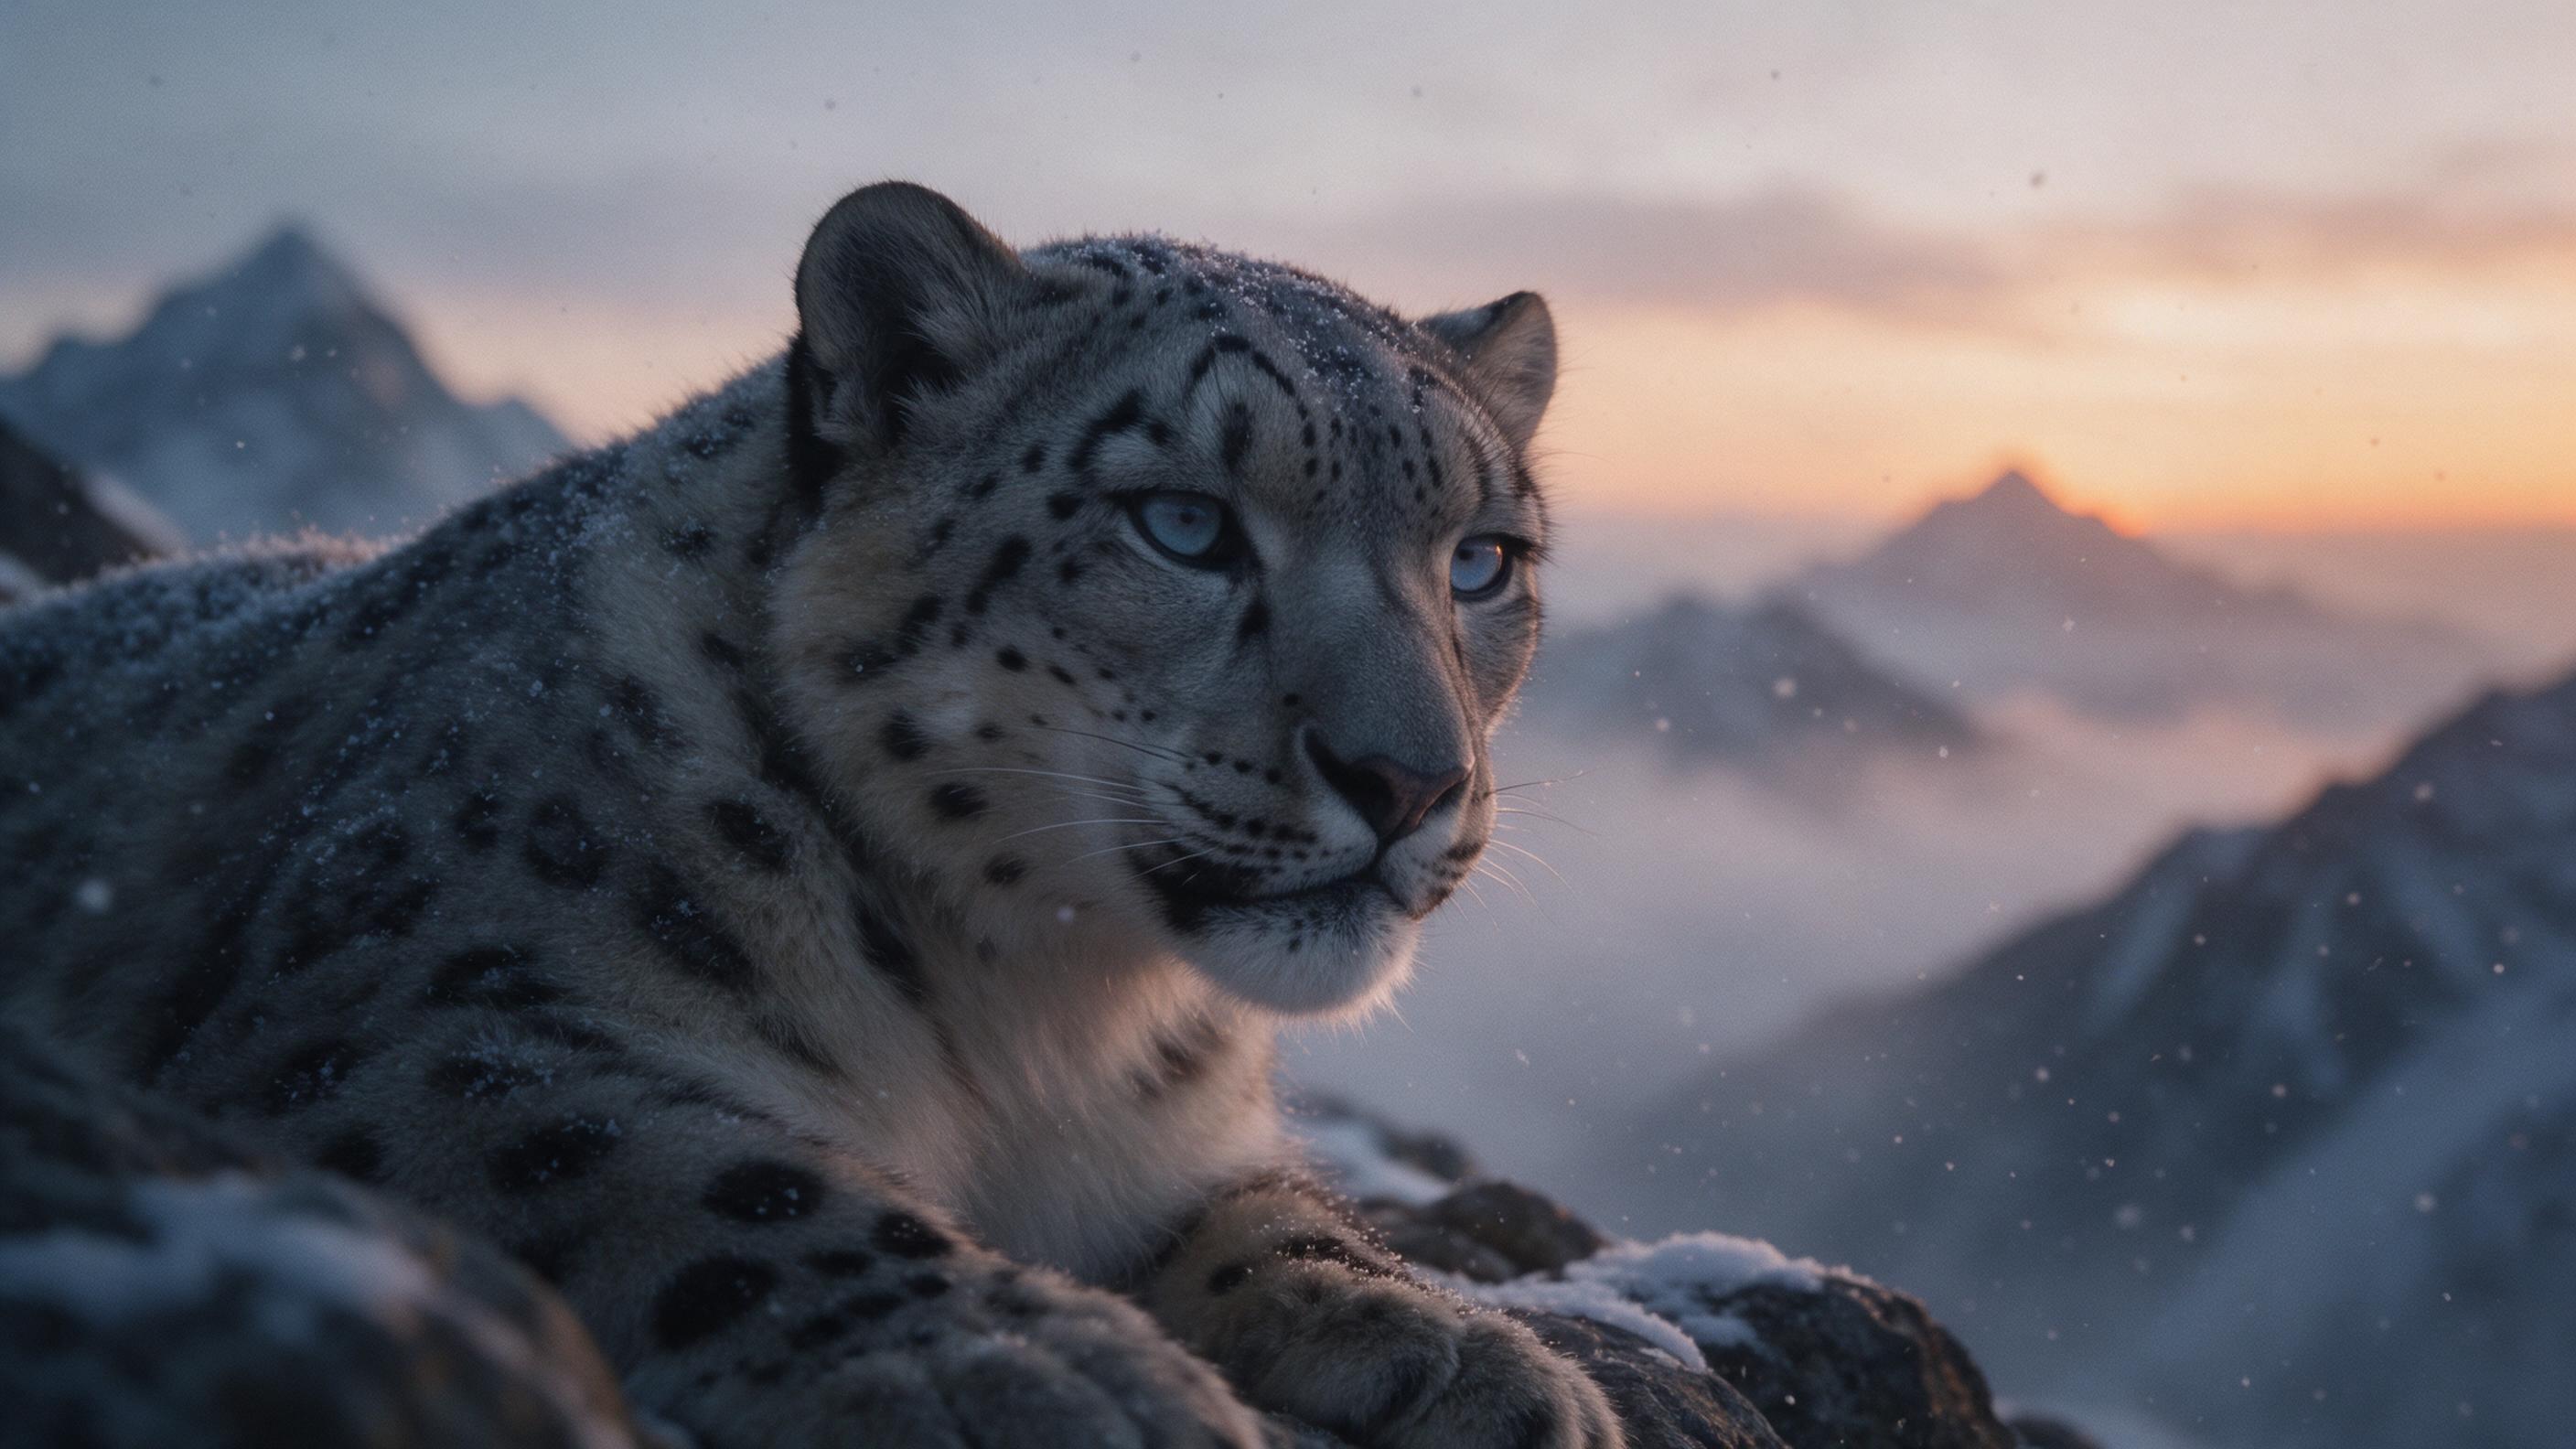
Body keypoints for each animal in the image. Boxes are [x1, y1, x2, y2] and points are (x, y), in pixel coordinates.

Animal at [0, 181, 1612, 1448]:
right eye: (1183, 523)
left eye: (1483, 560)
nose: (1413, 781)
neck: (1045, 1021)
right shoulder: (409, 1031)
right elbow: (711, 1182)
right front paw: (1036, 1369)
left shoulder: (1164, 1139)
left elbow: (1265, 1207)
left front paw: (1475, 1351)